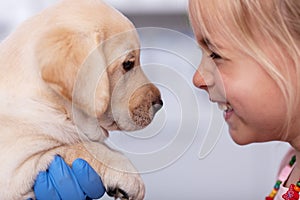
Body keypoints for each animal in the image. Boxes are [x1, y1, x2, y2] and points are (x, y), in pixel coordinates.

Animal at [0, 0, 162, 199]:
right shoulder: (14, 168)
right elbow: (79, 147)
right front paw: (127, 174)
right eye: (128, 64)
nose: (160, 103)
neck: (48, 104)